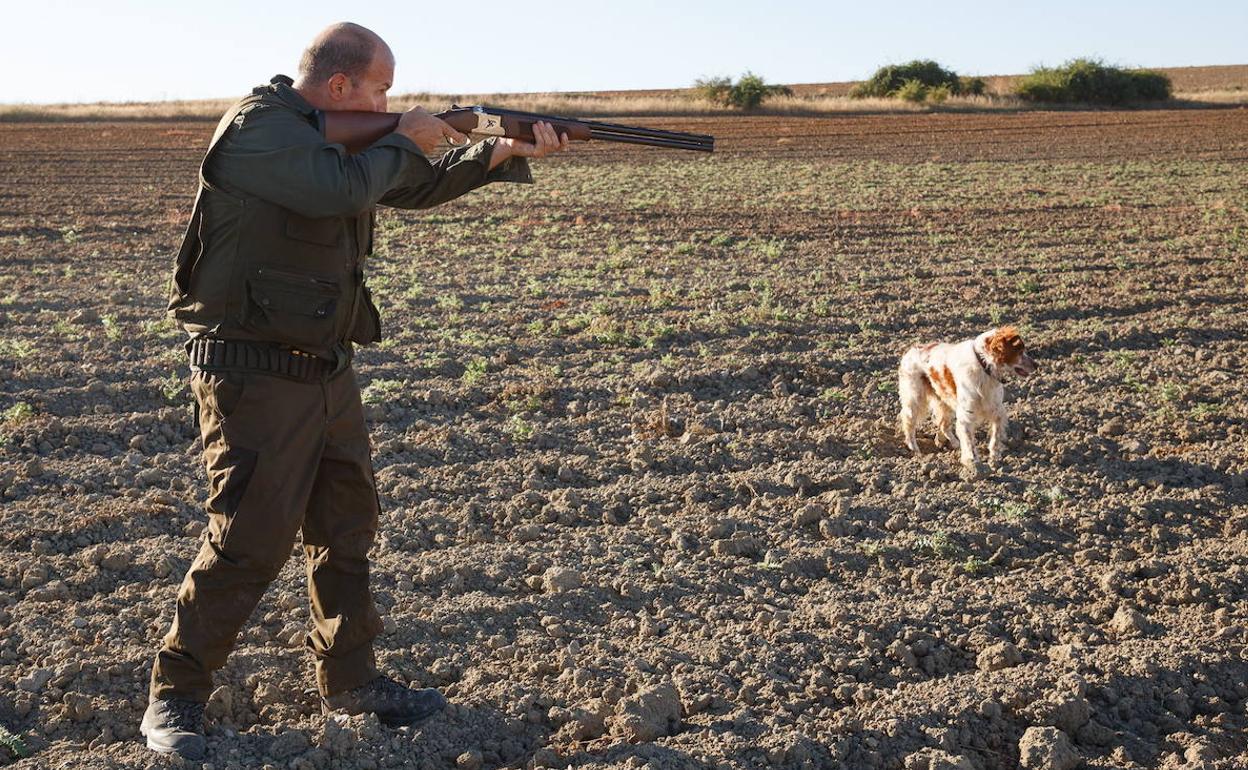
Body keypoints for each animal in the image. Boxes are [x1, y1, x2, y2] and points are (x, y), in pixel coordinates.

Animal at [898, 324, 1033, 474]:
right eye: (1020, 351)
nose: (1036, 365)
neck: (983, 366)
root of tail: (911, 350)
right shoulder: (967, 416)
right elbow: (969, 442)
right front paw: (973, 463)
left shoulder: (997, 410)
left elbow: (996, 436)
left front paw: (994, 458)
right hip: (915, 399)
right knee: (908, 420)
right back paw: (914, 447)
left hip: (945, 402)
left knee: (943, 424)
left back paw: (955, 442)